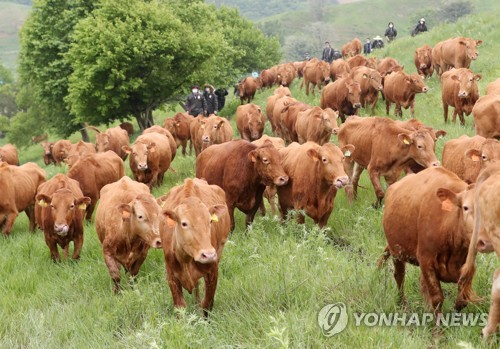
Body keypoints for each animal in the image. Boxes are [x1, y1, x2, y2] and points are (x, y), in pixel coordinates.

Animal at [158, 178, 230, 314]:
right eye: (184, 223)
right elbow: (180, 307)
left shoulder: (212, 272)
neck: (185, 258)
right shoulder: (171, 276)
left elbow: (207, 304)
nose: (208, 255)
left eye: (210, 221)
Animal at [382, 167, 476, 312]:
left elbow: (462, 300)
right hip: (396, 253)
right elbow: (437, 298)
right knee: (399, 276)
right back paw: (402, 305)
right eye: (465, 207)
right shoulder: (426, 259)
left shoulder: (467, 265)